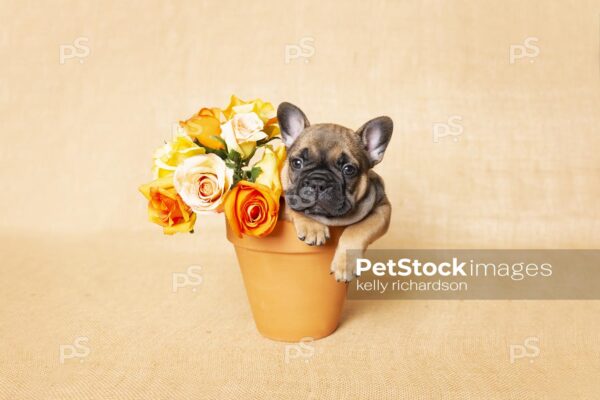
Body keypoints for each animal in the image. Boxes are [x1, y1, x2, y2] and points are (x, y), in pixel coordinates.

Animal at [278, 101, 394, 282]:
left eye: (348, 169)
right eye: (297, 163)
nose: (318, 182)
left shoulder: (382, 209)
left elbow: (358, 229)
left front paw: (344, 265)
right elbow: (293, 208)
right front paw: (313, 227)